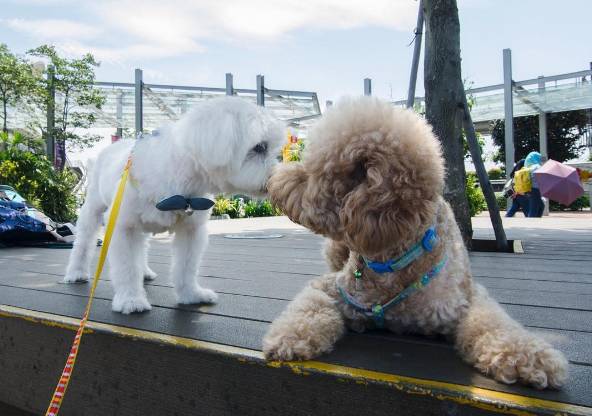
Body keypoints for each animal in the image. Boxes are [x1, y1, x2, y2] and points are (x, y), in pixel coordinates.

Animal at [66, 96, 284, 312]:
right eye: (259, 147)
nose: (277, 178)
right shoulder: (124, 228)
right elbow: (127, 267)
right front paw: (130, 300)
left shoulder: (191, 230)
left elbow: (186, 267)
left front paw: (192, 295)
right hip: (93, 210)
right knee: (83, 243)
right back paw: (76, 272)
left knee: (142, 248)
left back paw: (145, 272)